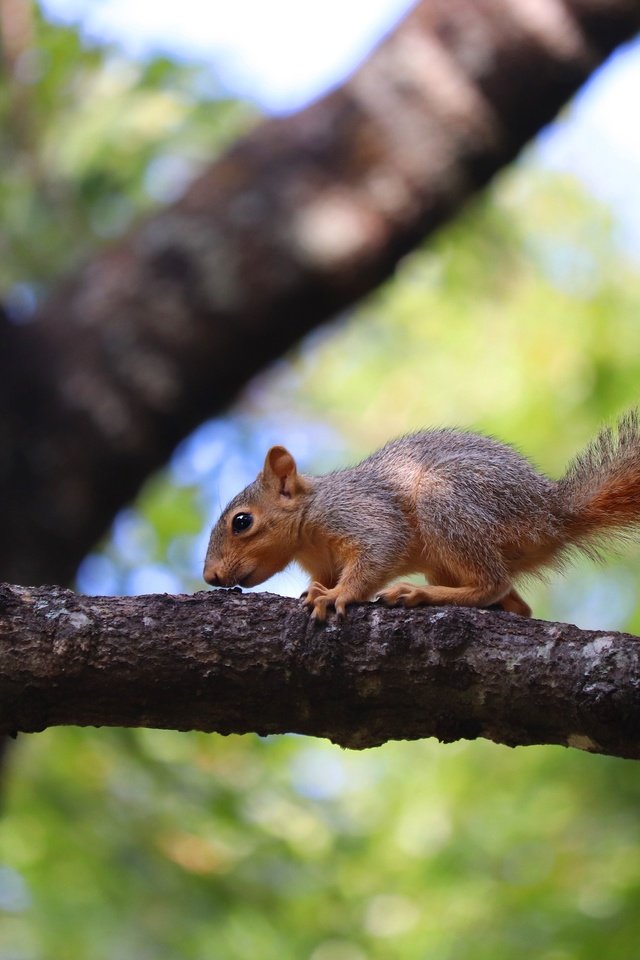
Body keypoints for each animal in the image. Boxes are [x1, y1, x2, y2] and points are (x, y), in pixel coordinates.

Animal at [202, 414, 640, 624]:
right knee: (519, 606)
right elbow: (325, 576)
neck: (308, 524)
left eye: (242, 522)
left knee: (492, 584)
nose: (210, 576)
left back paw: (417, 594)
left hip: (446, 501)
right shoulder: (321, 559)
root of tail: (551, 513)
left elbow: (379, 550)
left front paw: (337, 595)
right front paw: (315, 590)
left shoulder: (360, 512)